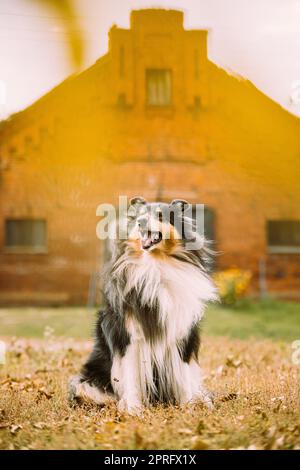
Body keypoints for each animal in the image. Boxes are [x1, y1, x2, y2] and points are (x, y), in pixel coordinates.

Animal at [69, 197, 217, 414]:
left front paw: (188, 407)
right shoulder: (129, 338)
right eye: (139, 215)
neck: (156, 264)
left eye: (161, 215)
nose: (141, 222)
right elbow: (130, 376)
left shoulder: (181, 335)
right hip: (85, 382)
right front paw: (132, 409)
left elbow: (184, 376)